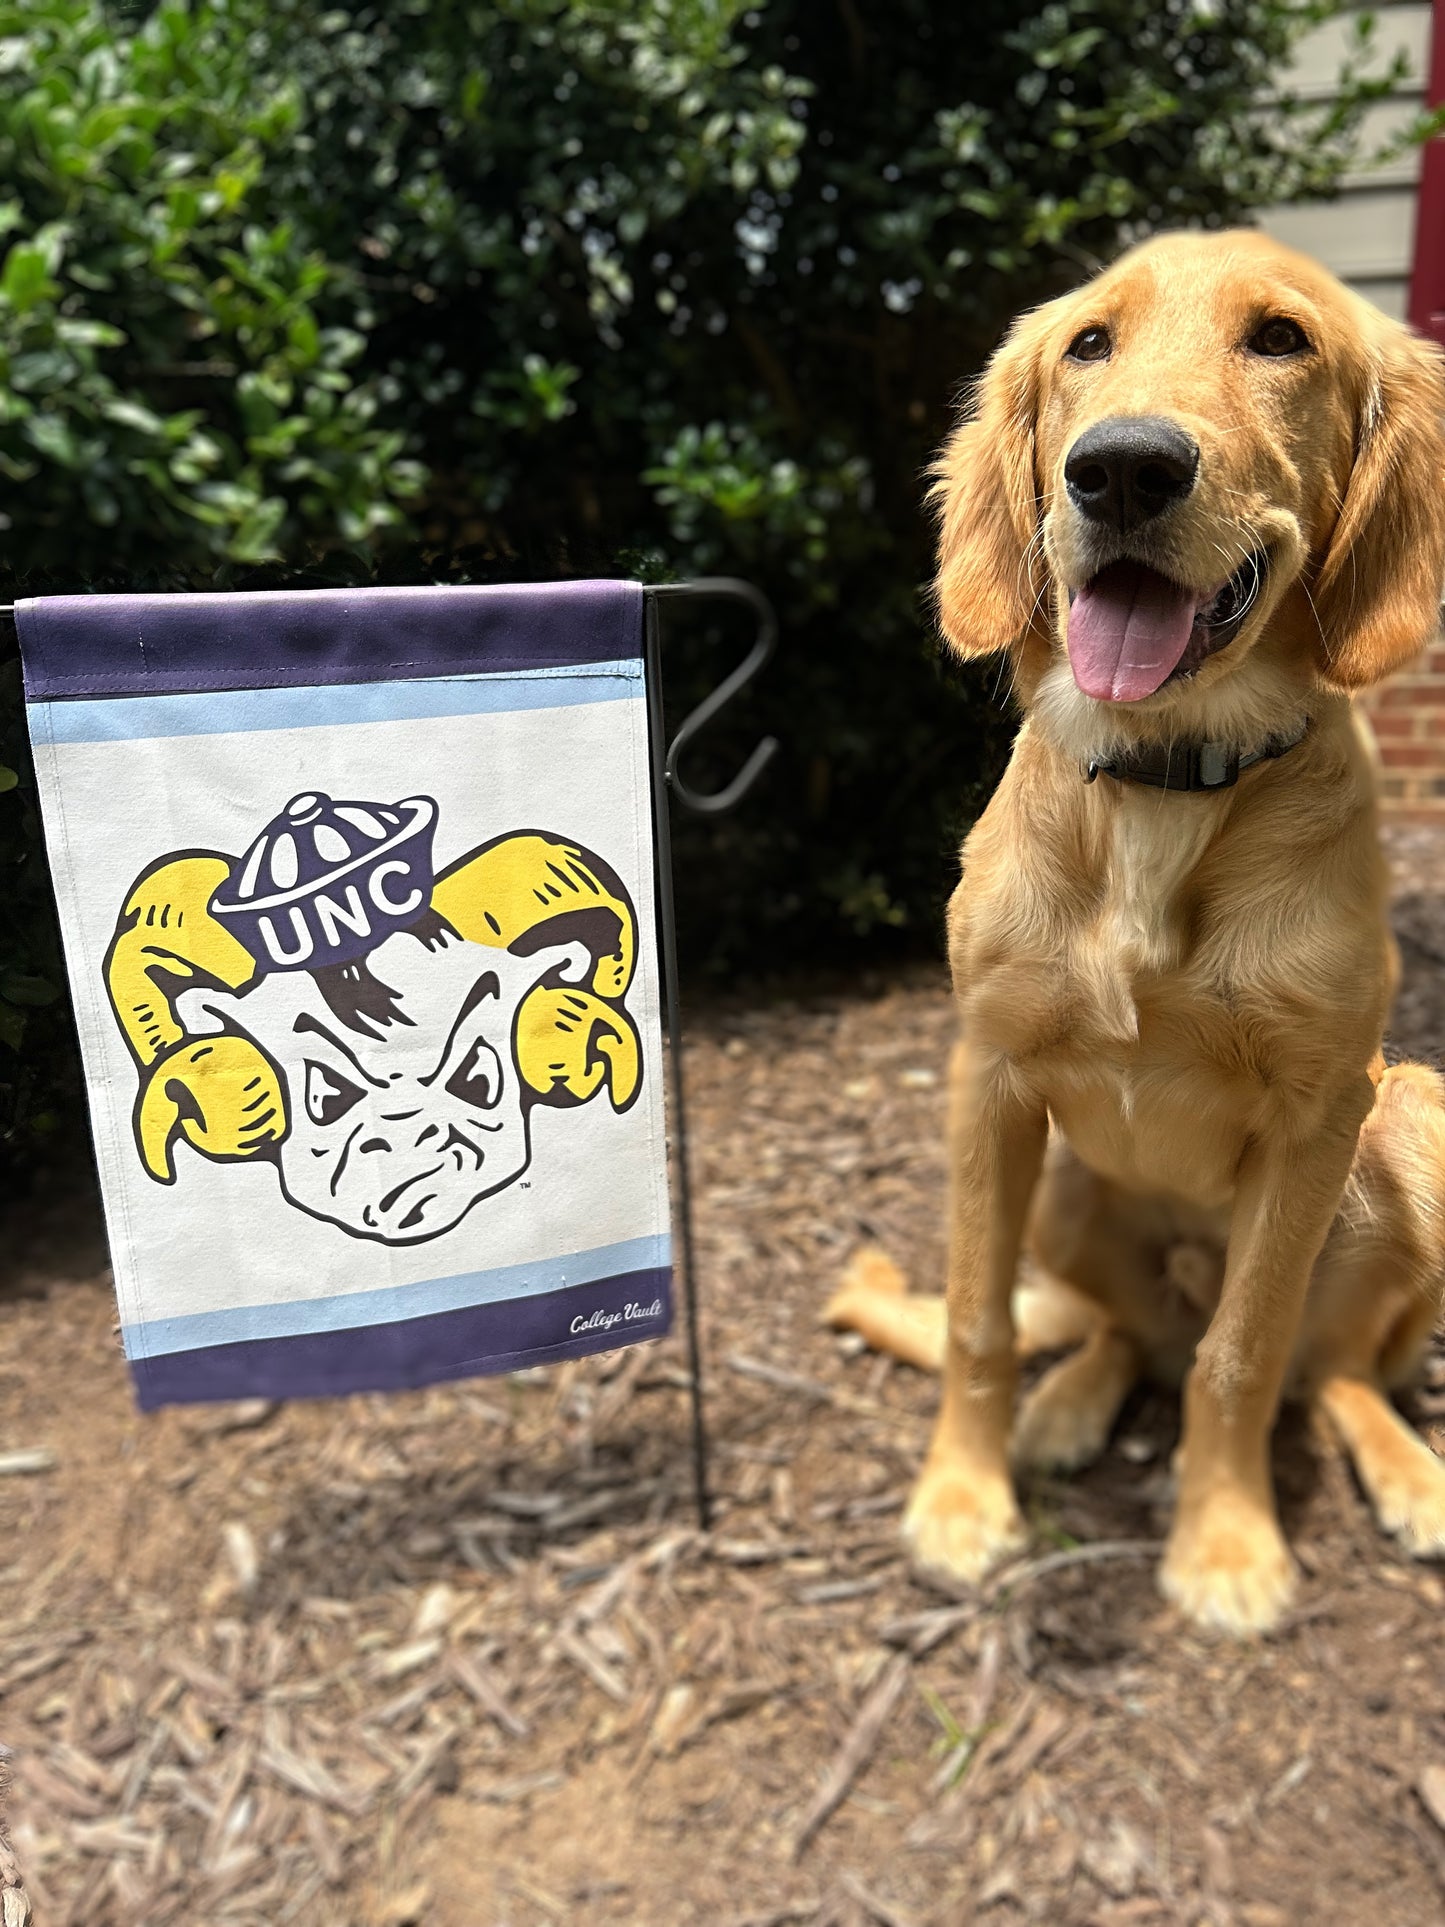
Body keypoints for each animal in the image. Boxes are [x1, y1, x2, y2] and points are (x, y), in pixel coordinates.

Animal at [832, 233, 1445, 1634]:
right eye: (1087, 344)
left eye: (1279, 339)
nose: (1119, 468)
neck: (1164, 782)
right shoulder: (989, 1075)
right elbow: (977, 1322)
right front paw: (963, 1502)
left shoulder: (1319, 1110)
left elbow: (1243, 1353)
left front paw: (1222, 1544)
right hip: (1064, 1187)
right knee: (1115, 1331)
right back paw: (1069, 1403)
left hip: (1411, 1127)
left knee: (1327, 1369)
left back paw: (1411, 1473)